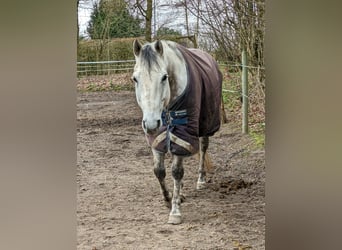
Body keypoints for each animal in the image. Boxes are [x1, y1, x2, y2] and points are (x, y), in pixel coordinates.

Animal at [131, 39, 222, 225]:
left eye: (164, 77)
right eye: (135, 79)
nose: (150, 123)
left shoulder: (182, 133)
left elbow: (176, 171)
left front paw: (175, 211)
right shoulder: (157, 136)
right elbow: (159, 171)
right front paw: (169, 198)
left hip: (205, 125)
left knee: (203, 148)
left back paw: (200, 180)